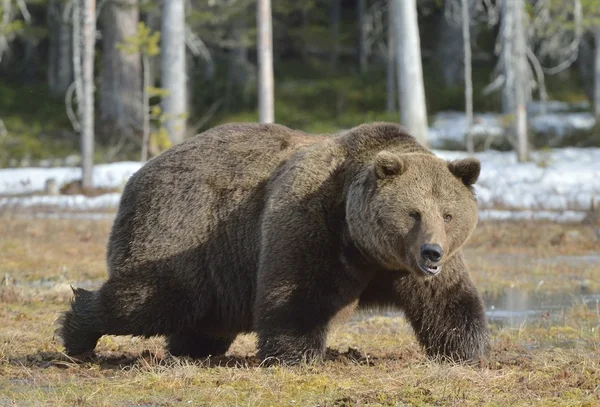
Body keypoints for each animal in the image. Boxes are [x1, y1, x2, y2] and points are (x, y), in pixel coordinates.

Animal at [56, 122, 490, 366]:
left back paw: (190, 349)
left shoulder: (410, 267)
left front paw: (469, 351)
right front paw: (293, 355)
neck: (366, 248)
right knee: (152, 297)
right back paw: (77, 330)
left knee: (199, 320)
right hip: (182, 226)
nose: (431, 252)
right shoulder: (311, 220)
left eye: (448, 215)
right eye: (413, 213)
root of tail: (139, 173)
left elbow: (449, 303)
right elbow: (297, 295)